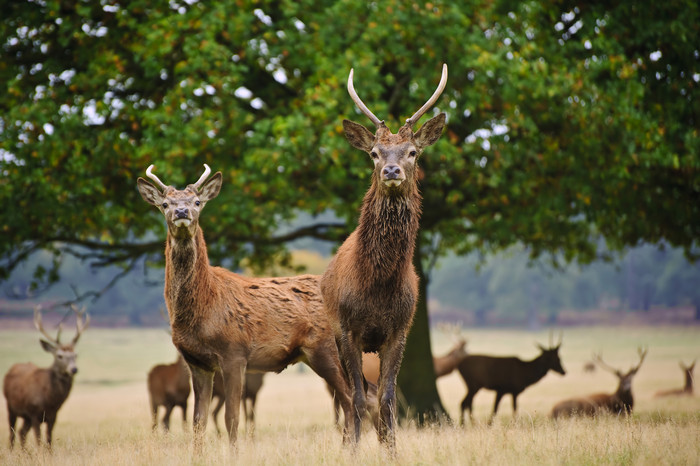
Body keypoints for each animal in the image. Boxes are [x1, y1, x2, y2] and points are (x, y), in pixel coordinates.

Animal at [2, 304, 89, 450]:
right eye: (59, 355)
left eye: (75, 355)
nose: (74, 369)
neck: (50, 399)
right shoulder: (34, 412)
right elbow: (38, 439)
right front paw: (39, 452)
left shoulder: (53, 415)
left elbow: (48, 440)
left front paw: (48, 453)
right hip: (11, 407)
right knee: (12, 433)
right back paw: (12, 451)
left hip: (26, 417)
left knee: (21, 432)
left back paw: (25, 452)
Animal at [137, 166, 352, 450]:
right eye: (164, 204)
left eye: (197, 202)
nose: (182, 212)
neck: (206, 306)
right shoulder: (197, 362)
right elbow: (198, 422)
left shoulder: (234, 352)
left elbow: (232, 418)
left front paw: (234, 453)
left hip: (326, 348)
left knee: (352, 400)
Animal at [322, 62, 448, 452]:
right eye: (375, 153)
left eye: (412, 152)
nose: (392, 171)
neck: (377, 286)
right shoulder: (348, 330)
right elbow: (358, 399)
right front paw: (352, 451)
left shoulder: (399, 330)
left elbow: (389, 398)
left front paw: (391, 451)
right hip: (333, 337)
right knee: (349, 396)